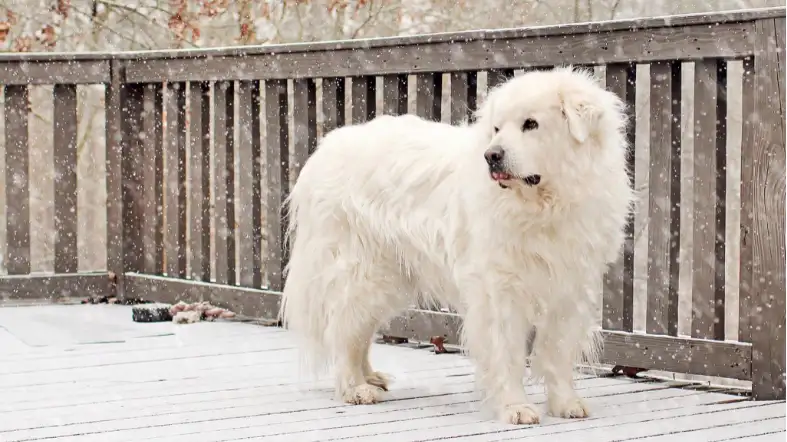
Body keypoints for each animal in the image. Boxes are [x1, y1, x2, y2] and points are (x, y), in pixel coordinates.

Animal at [278, 66, 636, 424]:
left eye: (531, 124)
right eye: (497, 128)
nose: (492, 156)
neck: (544, 206)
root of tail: (324, 150)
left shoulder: (570, 287)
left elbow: (557, 352)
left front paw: (565, 404)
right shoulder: (498, 290)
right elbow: (507, 353)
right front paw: (515, 407)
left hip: (387, 279)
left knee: (358, 331)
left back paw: (371, 378)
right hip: (362, 273)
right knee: (343, 330)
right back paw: (355, 388)